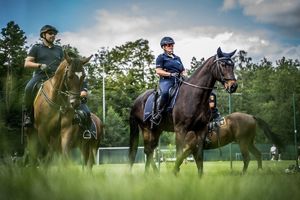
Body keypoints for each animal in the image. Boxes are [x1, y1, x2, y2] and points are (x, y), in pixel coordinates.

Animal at [130, 47, 238, 175]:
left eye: (232, 65)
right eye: (222, 64)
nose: (233, 86)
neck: (194, 96)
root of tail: (137, 100)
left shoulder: (201, 130)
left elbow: (199, 156)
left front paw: (199, 177)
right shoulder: (180, 130)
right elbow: (180, 155)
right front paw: (175, 173)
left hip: (157, 130)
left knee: (150, 150)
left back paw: (152, 175)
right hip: (147, 129)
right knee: (148, 150)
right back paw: (151, 174)